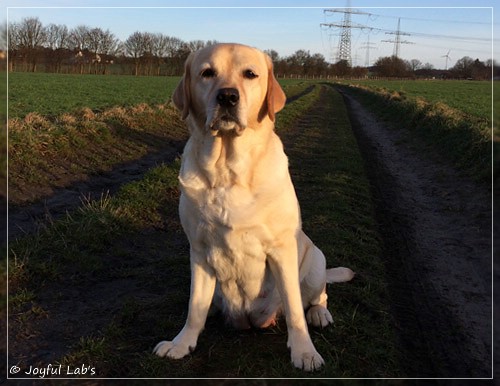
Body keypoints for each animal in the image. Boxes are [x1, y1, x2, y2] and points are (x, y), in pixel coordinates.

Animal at [154, 43, 354, 372]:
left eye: (250, 74)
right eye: (207, 73)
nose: (227, 97)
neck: (227, 168)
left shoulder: (281, 248)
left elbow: (294, 308)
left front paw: (304, 352)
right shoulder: (199, 250)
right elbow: (194, 307)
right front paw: (182, 343)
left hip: (314, 260)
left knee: (317, 295)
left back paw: (319, 314)